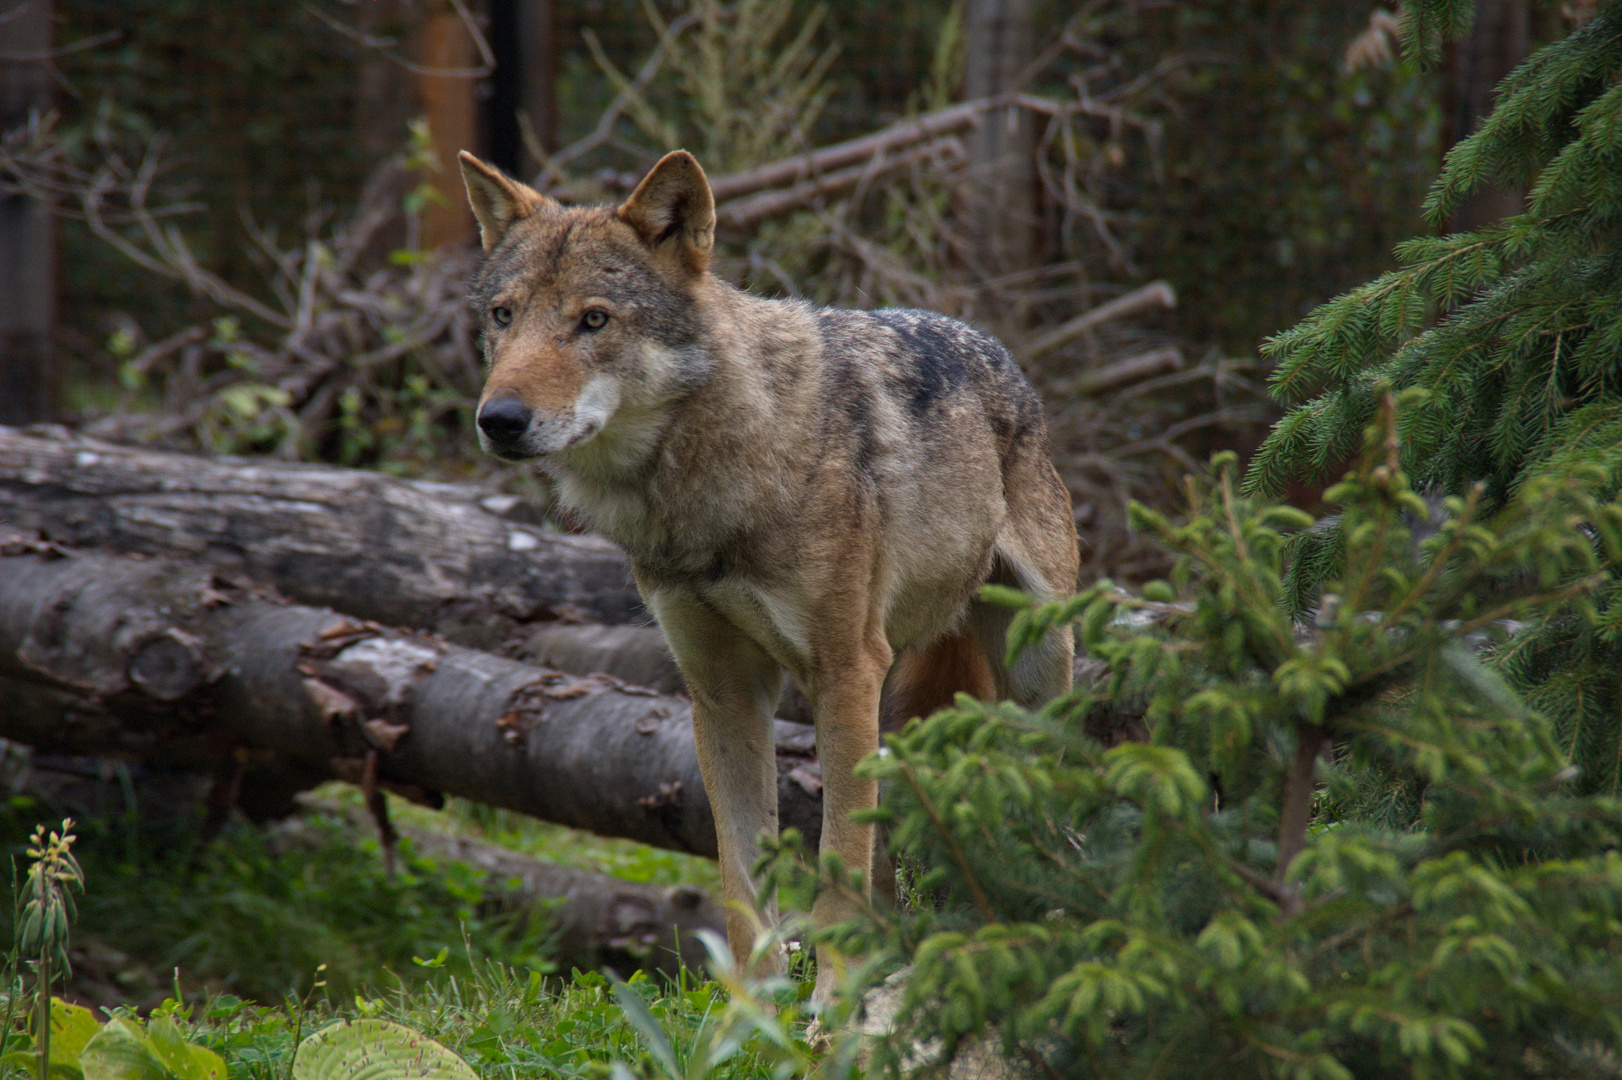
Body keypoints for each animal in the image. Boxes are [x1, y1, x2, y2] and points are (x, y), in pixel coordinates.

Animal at [457, 145, 1077, 992]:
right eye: (504, 316)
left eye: (593, 320)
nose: (499, 420)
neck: (701, 488)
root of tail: (999, 353)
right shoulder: (723, 692)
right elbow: (742, 881)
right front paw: (752, 1008)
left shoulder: (841, 668)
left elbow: (835, 866)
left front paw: (833, 998)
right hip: (897, 695)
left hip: (1030, 673)